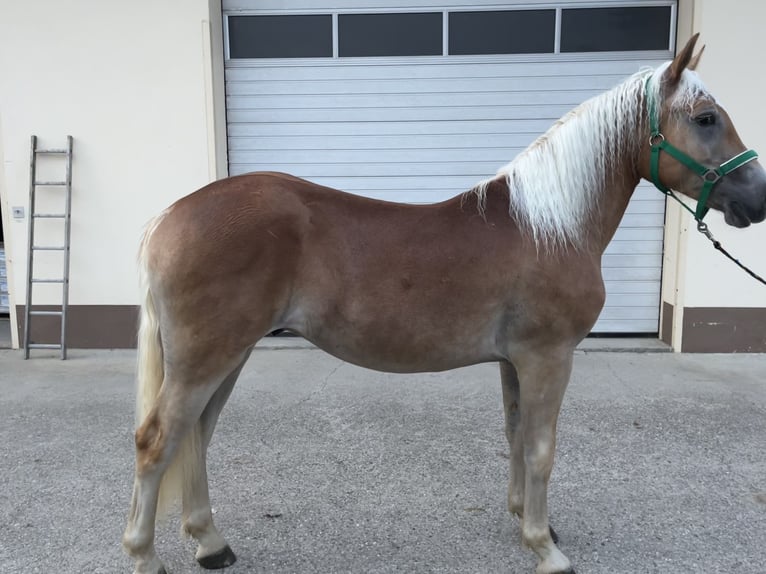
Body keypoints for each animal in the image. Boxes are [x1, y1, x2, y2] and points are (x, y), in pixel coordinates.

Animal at [121, 36, 766, 574]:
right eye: (706, 118)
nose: (757, 198)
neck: (552, 225)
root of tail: (171, 216)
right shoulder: (548, 358)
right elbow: (540, 449)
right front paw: (546, 549)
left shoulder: (515, 362)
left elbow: (515, 436)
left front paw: (526, 522)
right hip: (206, 358)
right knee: (157, 441)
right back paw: (145, 556)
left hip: (227, 356)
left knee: (194, 437)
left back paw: (211, 543)